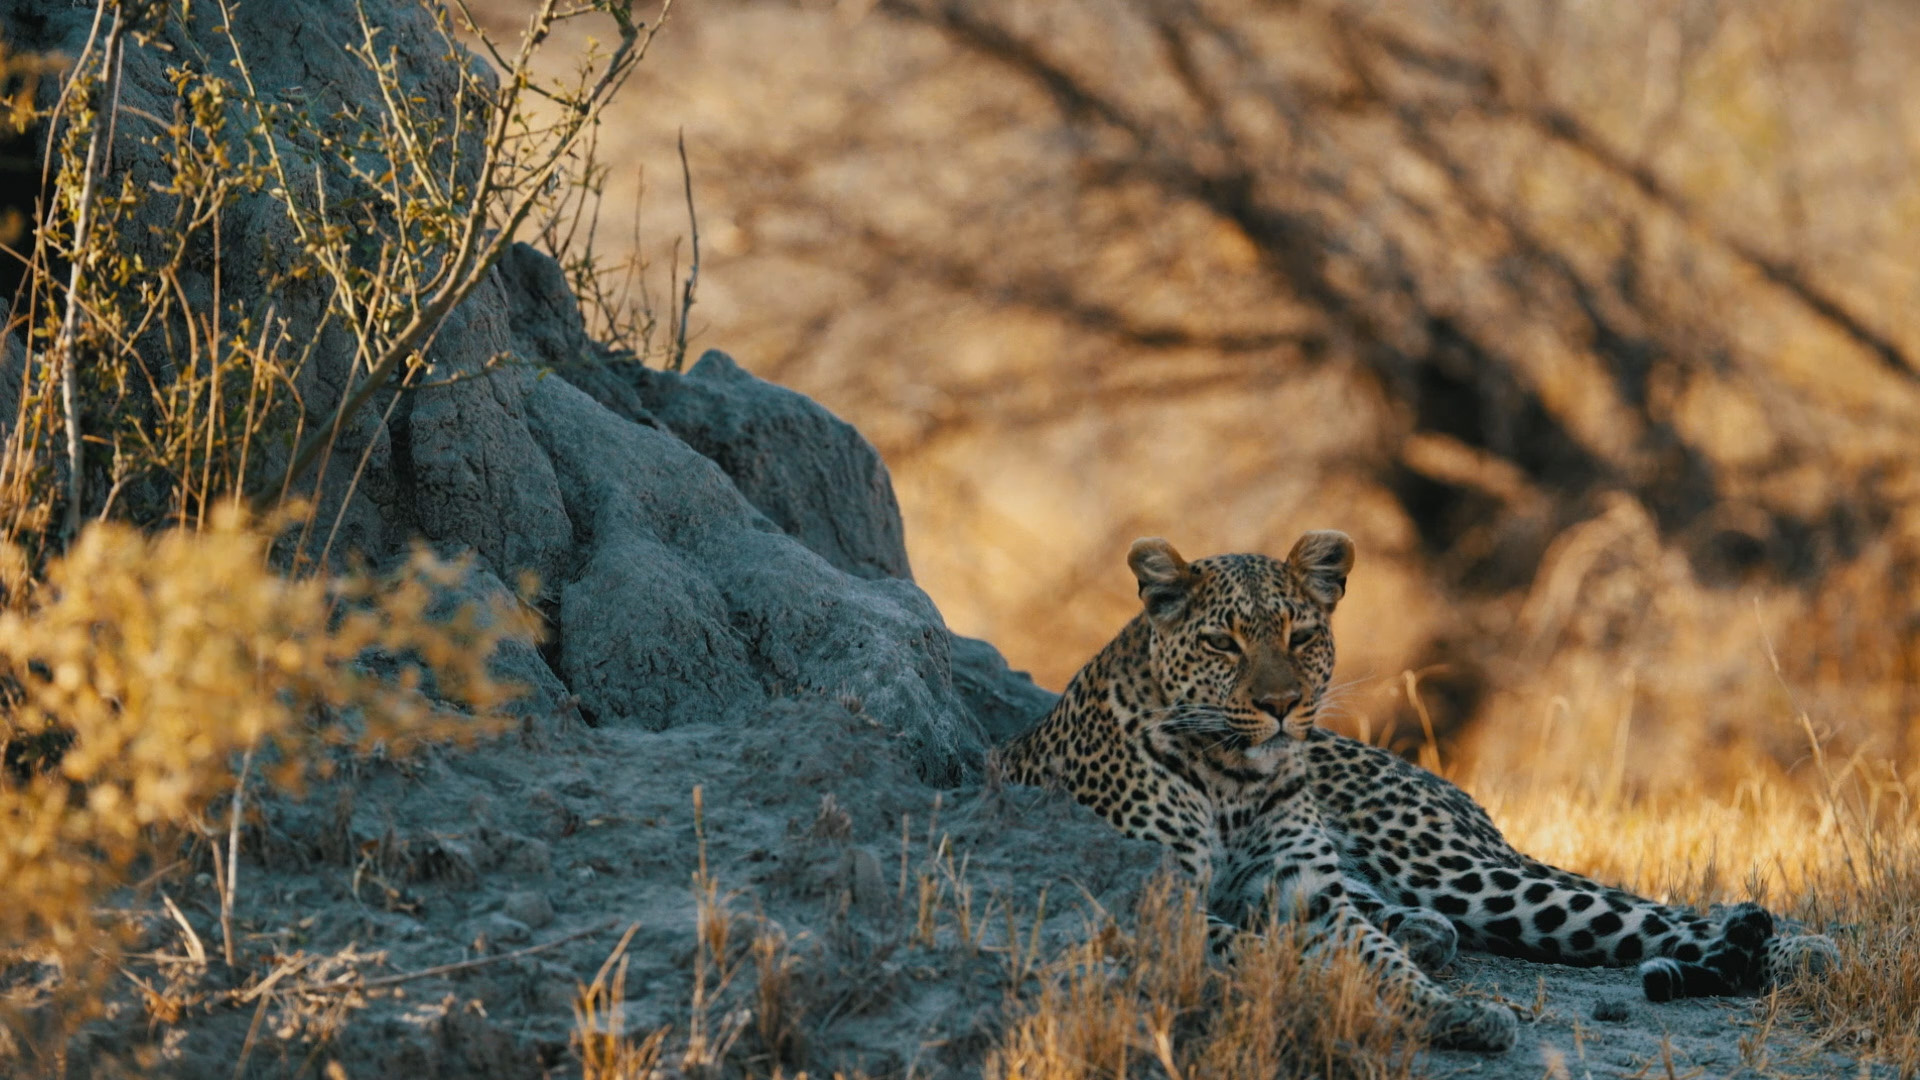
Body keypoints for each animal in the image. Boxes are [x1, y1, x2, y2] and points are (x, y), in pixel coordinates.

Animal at [992, 531, 1839, 1053]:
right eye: (1221, 642)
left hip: (1456, 869)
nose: (1281, 705)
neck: (1234, 775)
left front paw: (1446, 1011)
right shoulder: (1159, 899)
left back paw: (1795, 949)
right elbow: (1269, 952)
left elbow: (1367, 957)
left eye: (1302, 635)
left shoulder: (1309, 893)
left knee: (1646, 911)